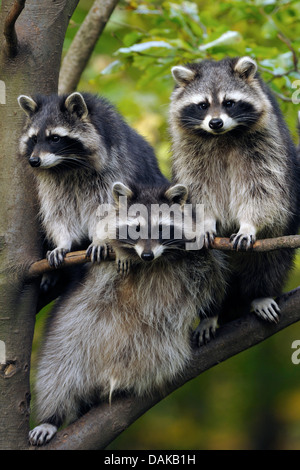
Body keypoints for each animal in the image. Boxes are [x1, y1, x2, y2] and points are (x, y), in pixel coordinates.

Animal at [17, 92, 168, 268]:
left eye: (55, 138)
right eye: (34, 139)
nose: (34, 161)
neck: (67, 166)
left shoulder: (114, 170)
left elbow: (106, 209)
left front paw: (99, 238)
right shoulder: (54, 184)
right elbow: (58, 213)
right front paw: (63, 242)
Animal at [28, 182, 225, 446]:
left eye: (161, 228)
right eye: (137, 228)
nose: (147, 255)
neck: (153, 263)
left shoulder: (199, 253)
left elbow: (212, 278)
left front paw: (210, 314)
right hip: (69, 333)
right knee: (56, 375)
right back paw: (51, 417)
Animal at [169, 56, 300, 326]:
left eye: (229, 103)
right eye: (202, 105)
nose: (215, 122)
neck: (222, 135)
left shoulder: (266, 143)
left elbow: (263, 188)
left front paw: (249, 224)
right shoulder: (190, 151)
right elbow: (198, 189)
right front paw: (206, 221)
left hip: (281, 234)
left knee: (269, 262)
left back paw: (260, 293)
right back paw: (211, 312)